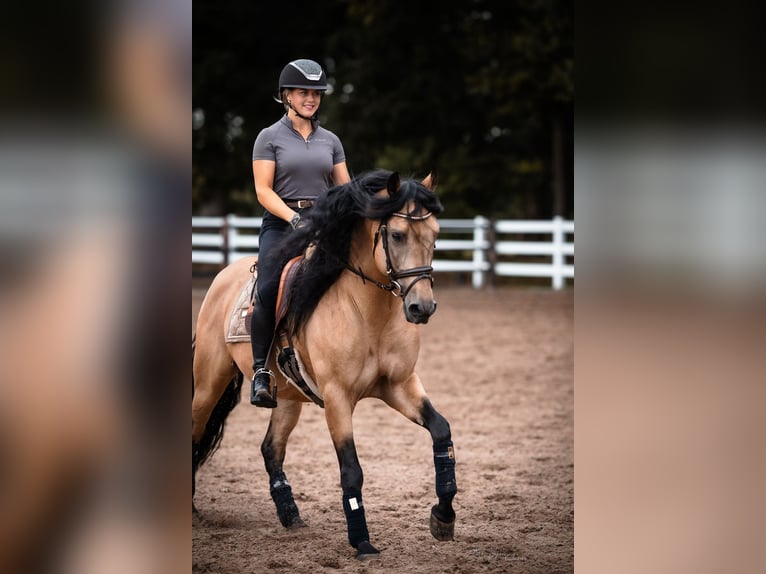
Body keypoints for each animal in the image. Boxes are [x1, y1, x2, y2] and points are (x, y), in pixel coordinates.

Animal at [192, 169, 457, 559]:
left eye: (435, 235)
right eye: (397, 235)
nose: (421, 307)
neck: (367, 314)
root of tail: (222, 276)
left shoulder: (400, 385)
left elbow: (441, 431)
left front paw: (443, 517)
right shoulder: (337, 398)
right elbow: (351, 470)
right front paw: (362, 541)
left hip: (287, 397)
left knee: (271, 449)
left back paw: (291, 517)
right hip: (209, 384)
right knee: (196, 433)